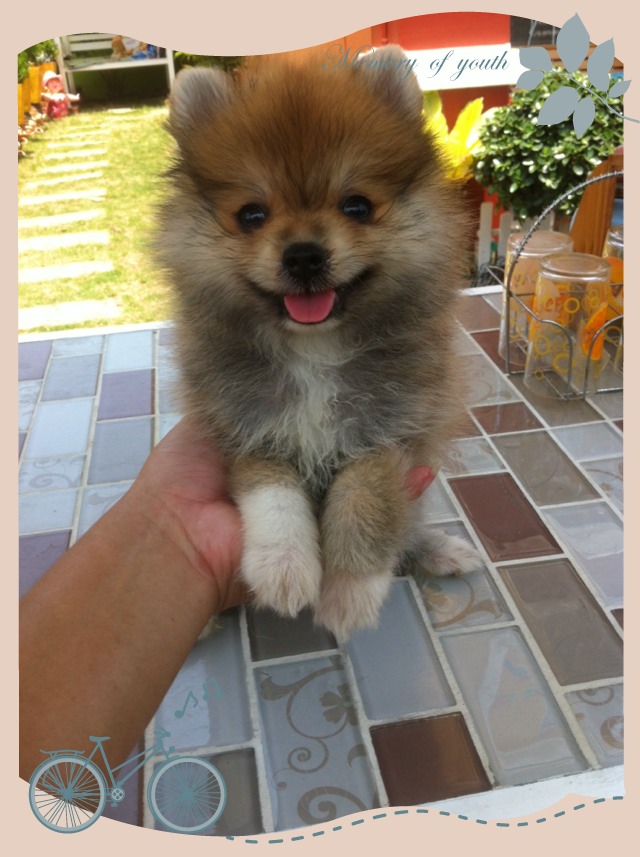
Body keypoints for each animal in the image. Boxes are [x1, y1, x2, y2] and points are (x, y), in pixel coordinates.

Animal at [155, 46, 481, 639]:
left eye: (356, 206)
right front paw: (284, 569)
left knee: (410, 525)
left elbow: (366, 501)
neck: (314, 353)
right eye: (252, 215)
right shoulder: (249, 428)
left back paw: (439, 550)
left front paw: (349, 591)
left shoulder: (393, 432)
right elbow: (274, 499)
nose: (304, 255)